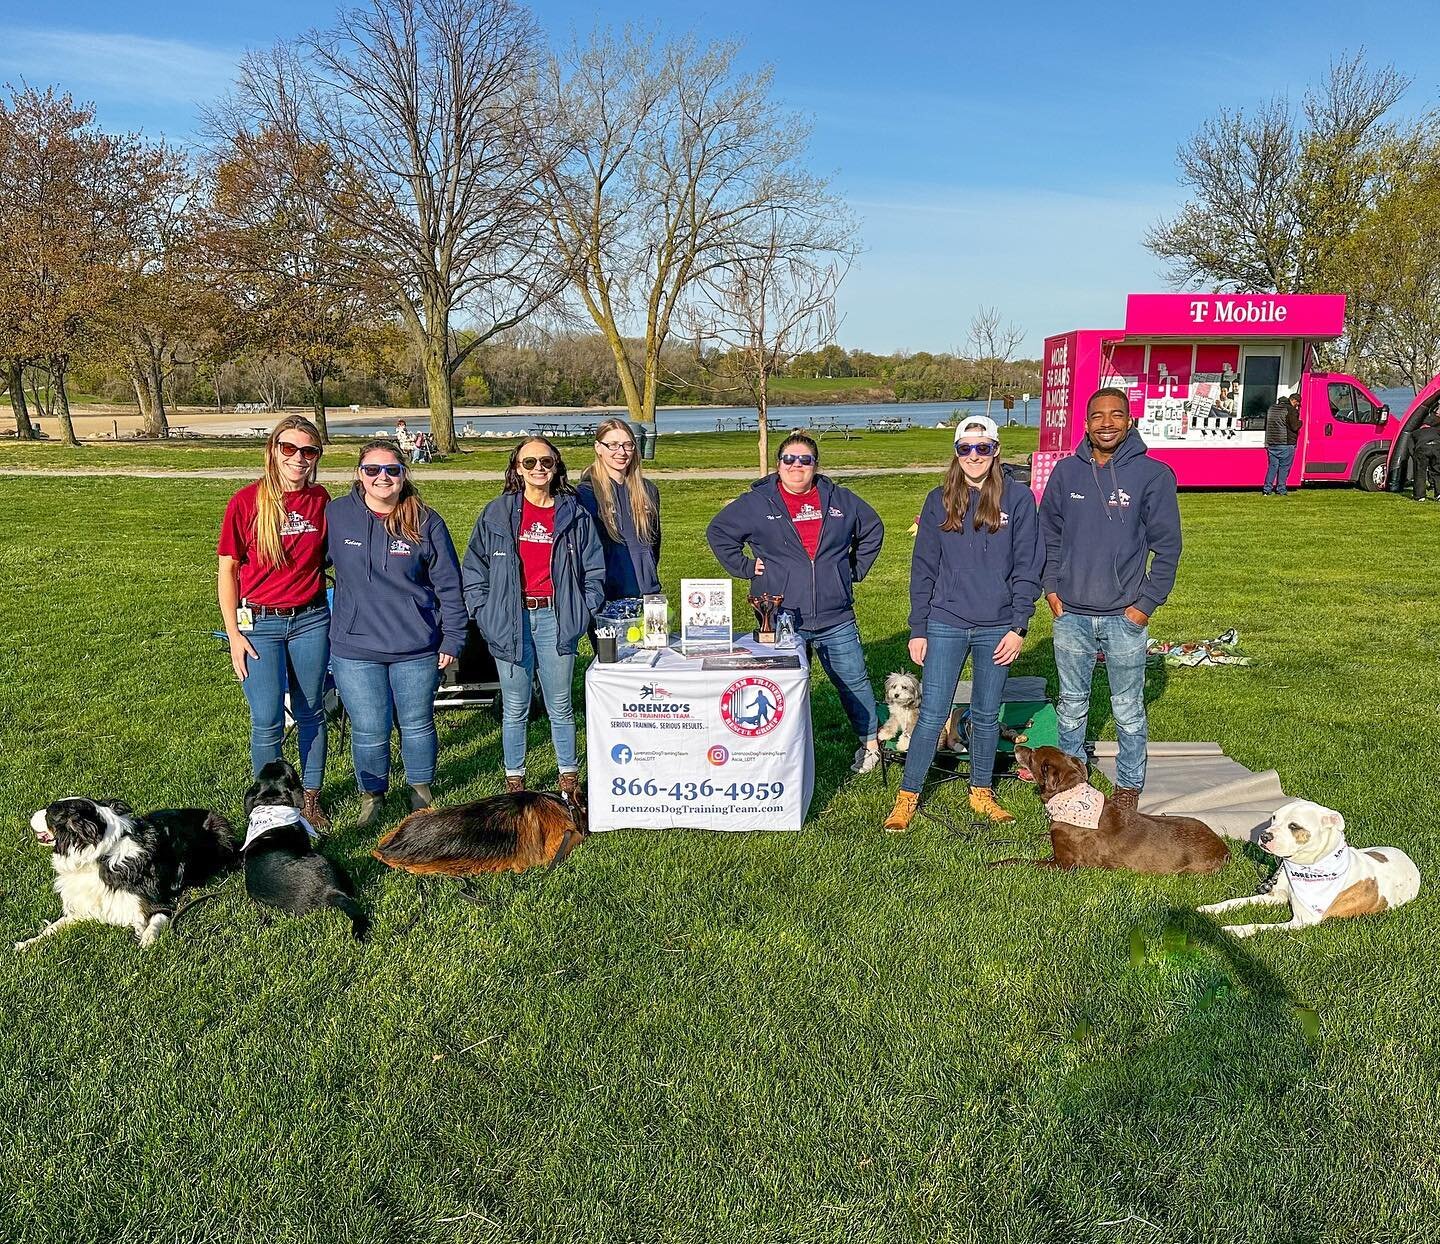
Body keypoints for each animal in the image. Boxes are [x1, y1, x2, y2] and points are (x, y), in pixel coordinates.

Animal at [1198, 800, 1422, 938]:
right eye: (1274, 818)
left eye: (1294, 826)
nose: (1264, 836)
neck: (1306, 864)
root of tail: (1407, 858)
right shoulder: (1275, 896)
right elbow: (1236, 901)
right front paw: (1210, 909)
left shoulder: (1301, 922)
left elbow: (1260, 926)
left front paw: (1235, 930)